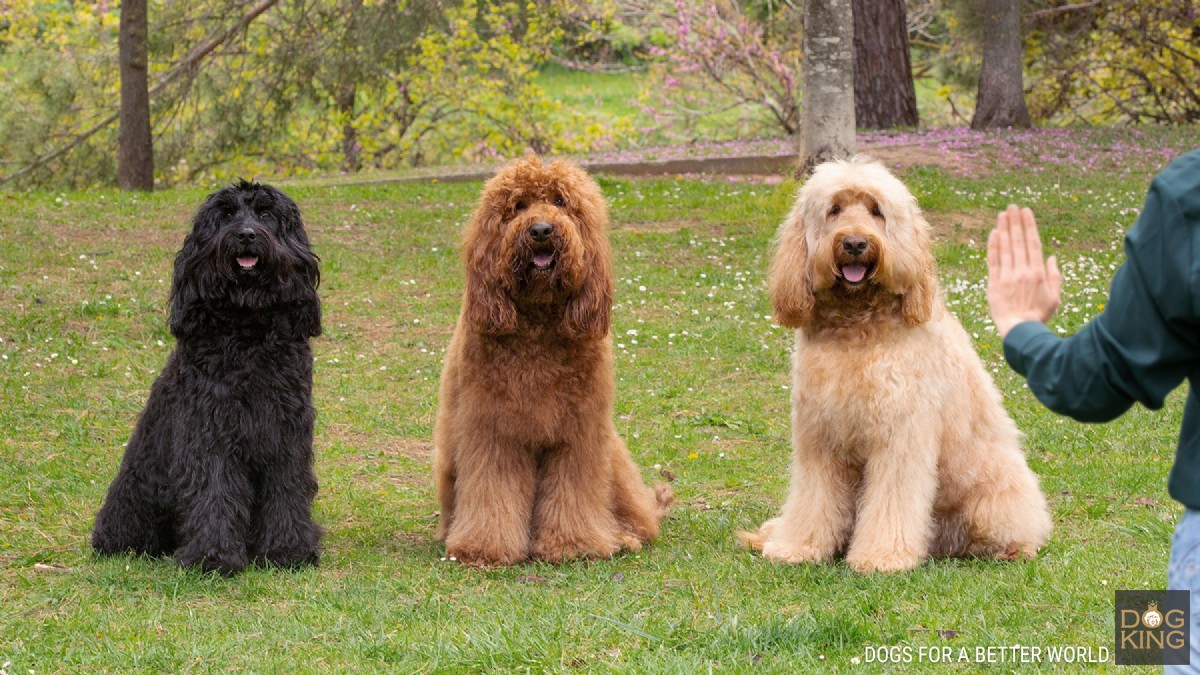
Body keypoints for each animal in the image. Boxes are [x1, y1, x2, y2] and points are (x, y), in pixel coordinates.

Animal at [91, 180, 324, 571]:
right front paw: (212, 557)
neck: (247, 329)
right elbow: (214, 491)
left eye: (265, 213)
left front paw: (287, 549)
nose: (246, 235)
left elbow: (286, 488)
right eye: (226, 214)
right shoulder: (210, 431)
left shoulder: (285, 431)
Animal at [434, 154, 681, 564]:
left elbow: (573, 493)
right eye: (518, 206)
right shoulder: (494, 433)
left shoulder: (579, 435)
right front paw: (485, 547)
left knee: (640, 519)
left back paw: (624, 536)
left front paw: (573, 543)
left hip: (614, 460)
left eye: (561, 202)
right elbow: (493, 493)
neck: (538, 322)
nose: (541, 230)